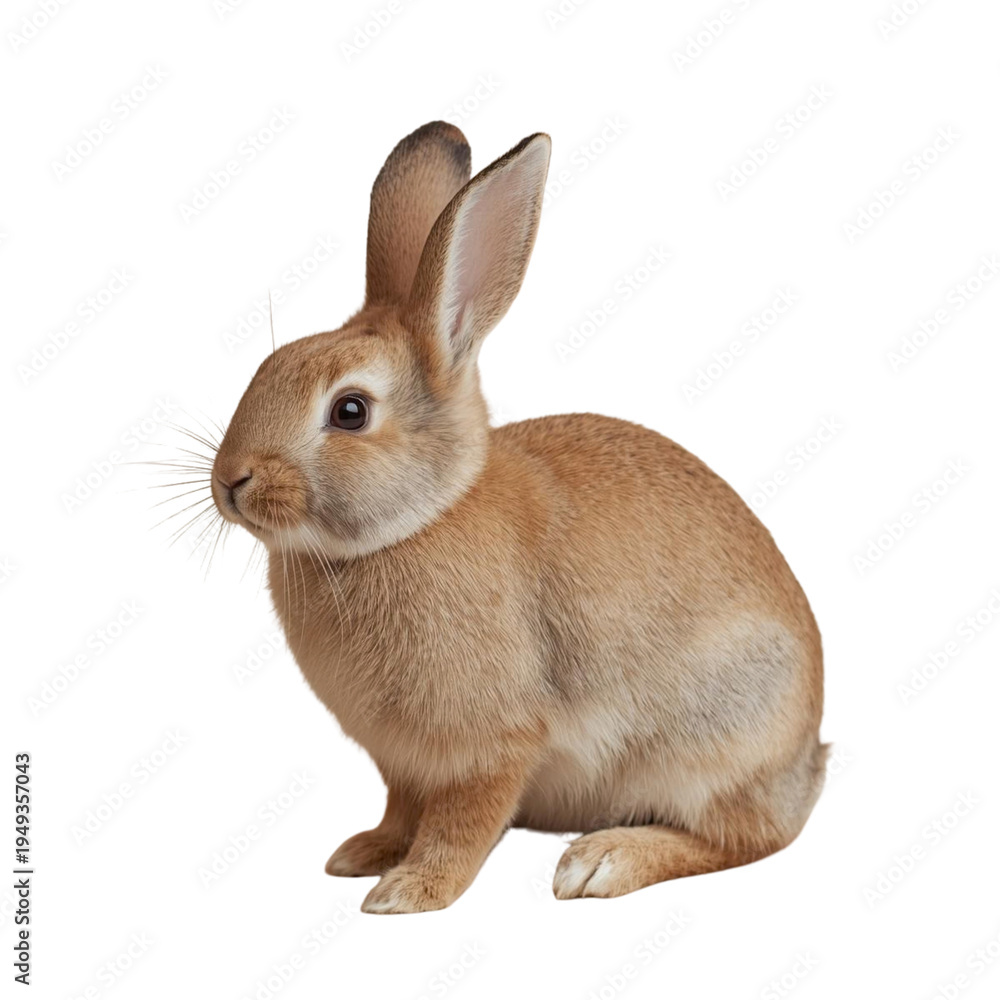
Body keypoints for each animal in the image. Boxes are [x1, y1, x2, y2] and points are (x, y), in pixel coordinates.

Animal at [210, 121, 827, 914]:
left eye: (349, 411)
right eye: (268, 366)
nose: (231, 481)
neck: (418, 521)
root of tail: (809, 757)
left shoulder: (491, 745)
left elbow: (462, 823)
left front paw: (408, 892)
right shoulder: (403, 763)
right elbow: (401, 810)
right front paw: (365, 853)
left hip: (715, 735)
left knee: (744, 837)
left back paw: (601, 862)